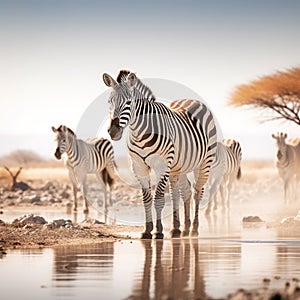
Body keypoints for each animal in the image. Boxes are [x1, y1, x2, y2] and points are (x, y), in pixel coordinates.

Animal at [102, 70, 217, 239]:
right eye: (109, 101)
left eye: (128, 103)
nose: (113, 132)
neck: (139, 133)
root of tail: (193, 100)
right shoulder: (139, 167)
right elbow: (146, 199)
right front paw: (147, 230)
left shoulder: (161, 165)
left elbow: (158, 199)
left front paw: (158, 231)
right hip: (179, 166)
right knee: (183, 192)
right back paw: (181, 229)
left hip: (204, 162)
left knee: (197, 192)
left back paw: (194, 229)